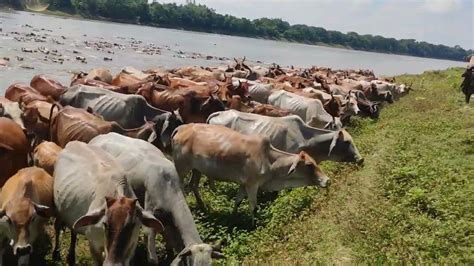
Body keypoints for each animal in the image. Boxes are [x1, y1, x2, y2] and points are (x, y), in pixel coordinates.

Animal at [171, 123, 330, 221]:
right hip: (181, 168)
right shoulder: (252, 185)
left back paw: (203, 207)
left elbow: (237, 201)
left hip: (196, 169)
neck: (269, 160)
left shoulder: (243, 185)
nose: (327, 180)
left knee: (193, 185)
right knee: (182, 188)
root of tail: (181, 127)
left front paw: (233, 217)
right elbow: (253, 207)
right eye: (309, 165)